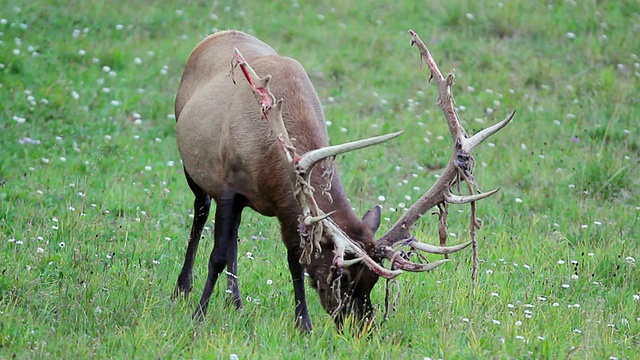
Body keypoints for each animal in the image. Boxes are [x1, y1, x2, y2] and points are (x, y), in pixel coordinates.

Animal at [171, 29, 516, 330]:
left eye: (372, 280)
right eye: (342, 276)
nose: (363, 326)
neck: (271, 164)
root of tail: (213, 37)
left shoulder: (290, 210)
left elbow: (295, 261)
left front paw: (303, 324)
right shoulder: (229, 187)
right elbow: (216, 255)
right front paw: (199, 316)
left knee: (233, 239)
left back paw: (236, 302)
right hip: (193, 170)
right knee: (200, 215)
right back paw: (183, 288)